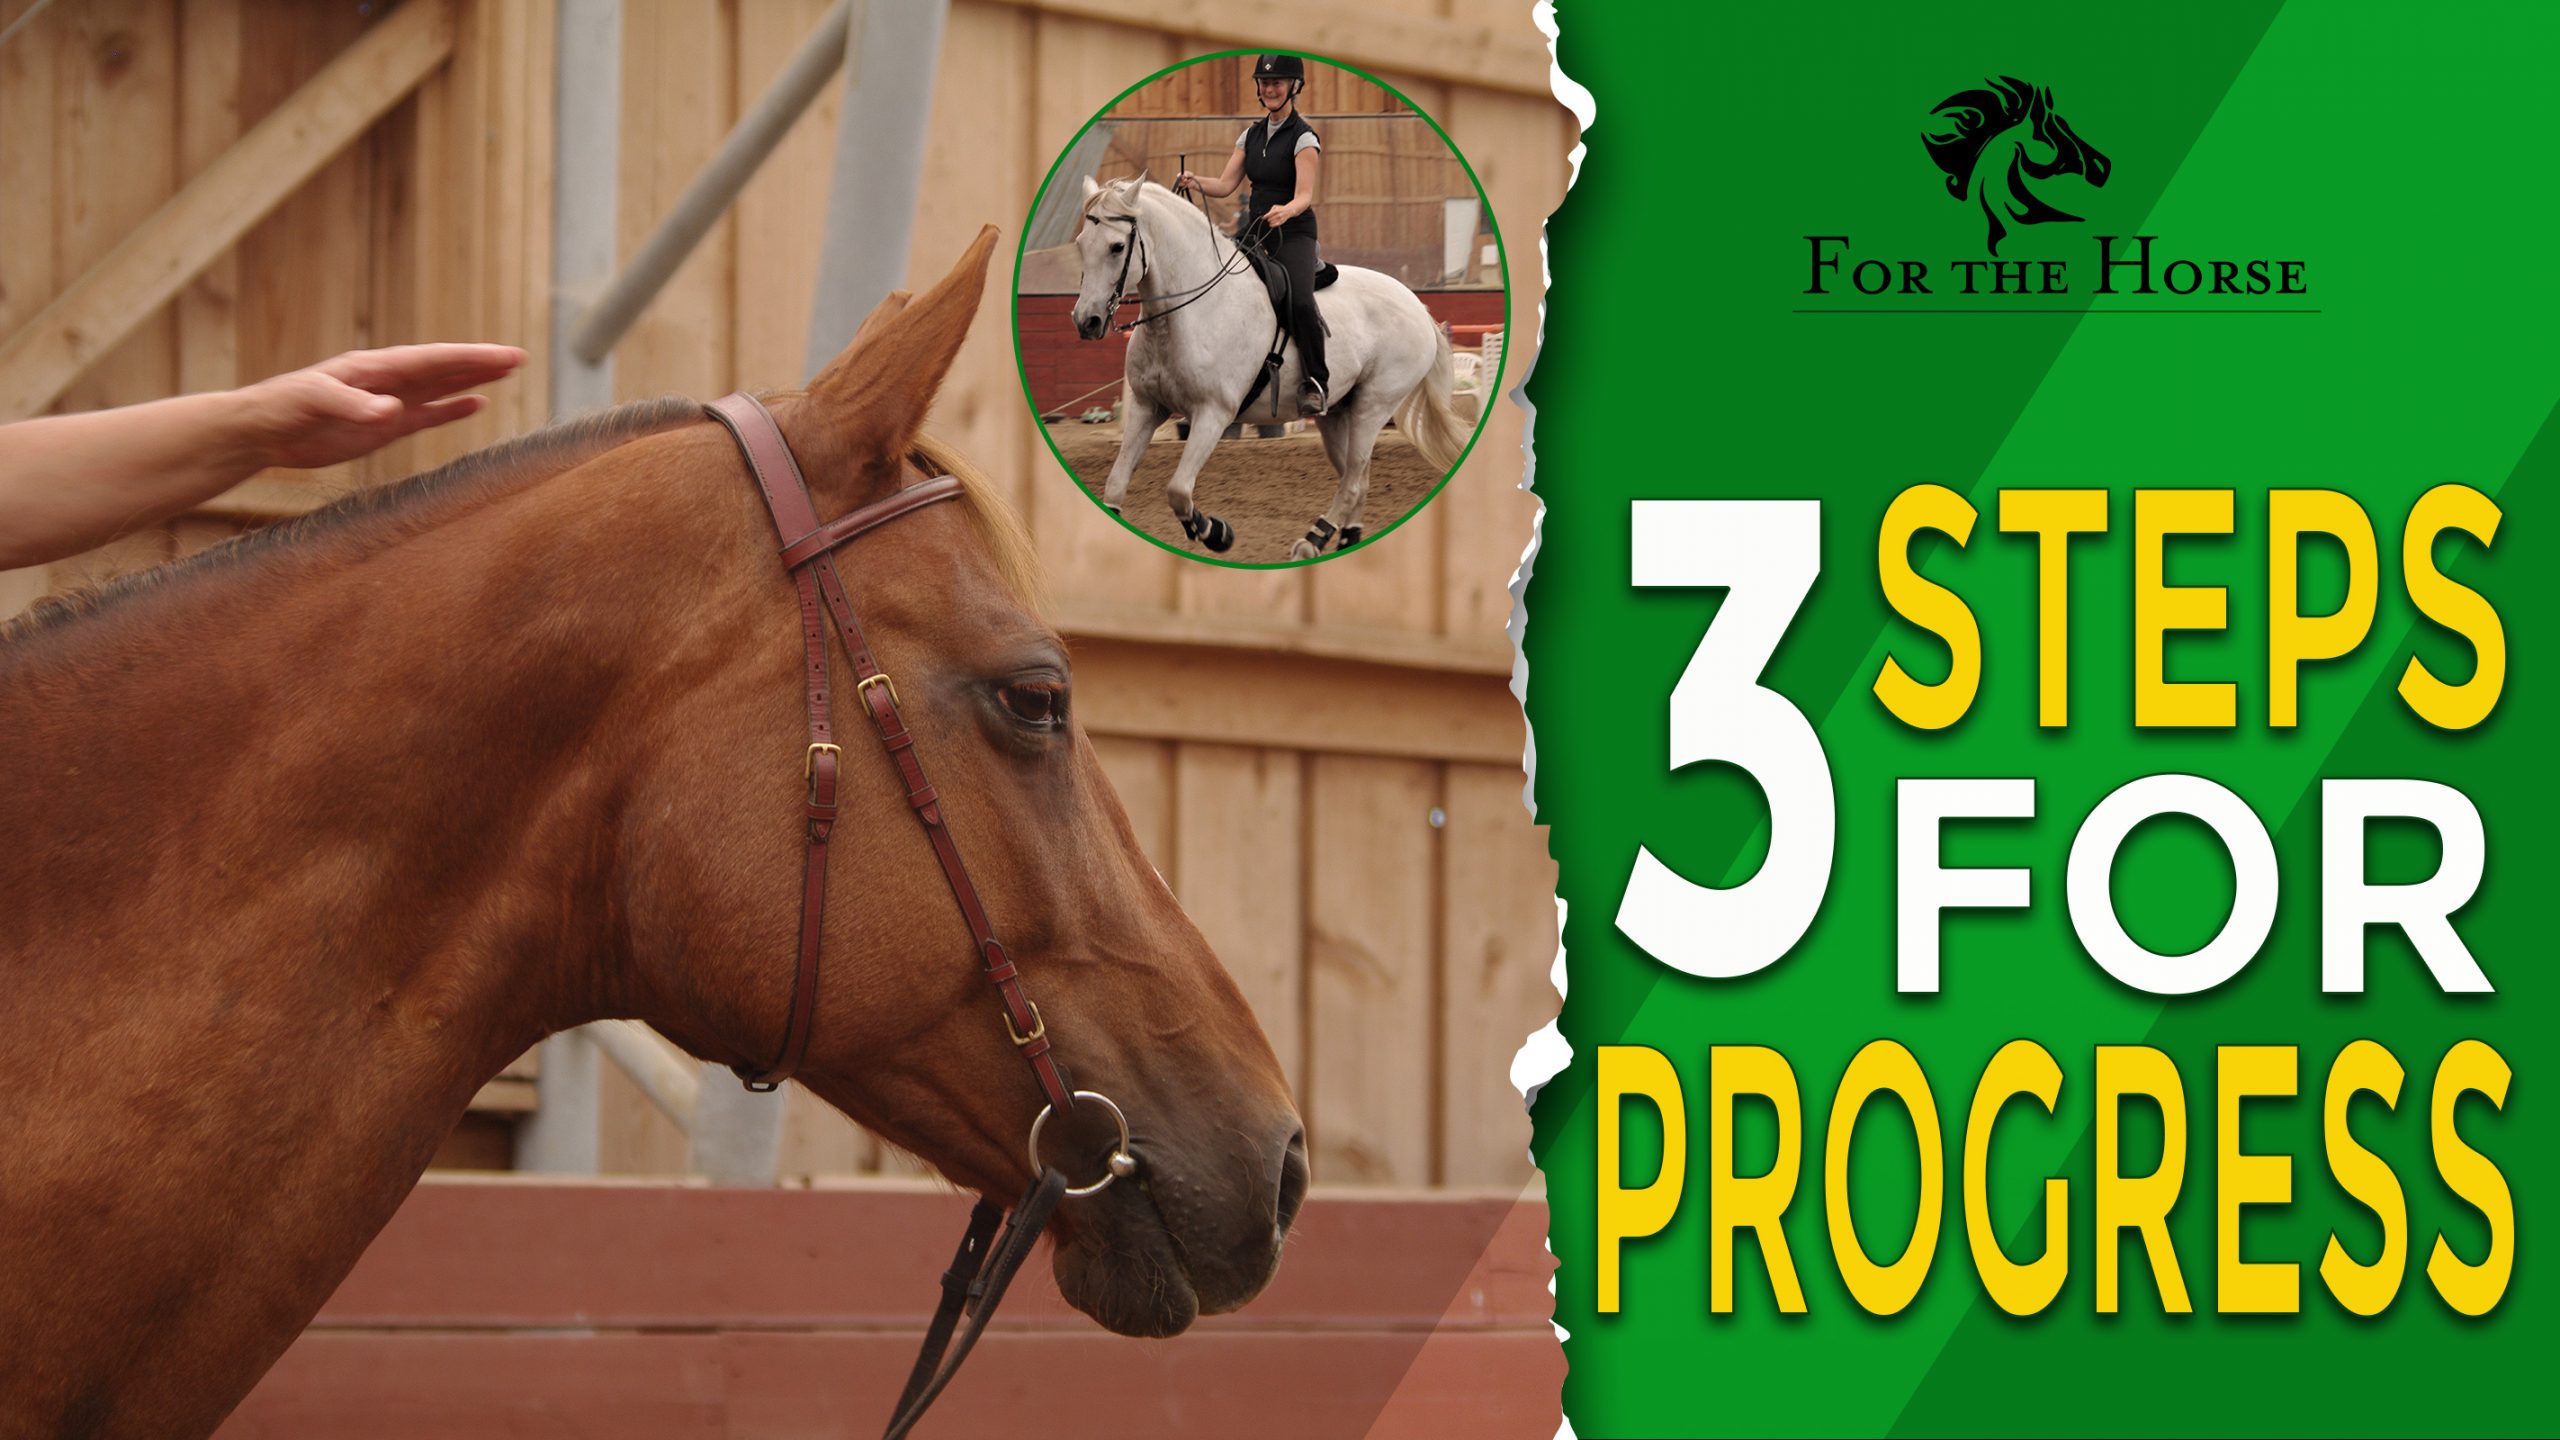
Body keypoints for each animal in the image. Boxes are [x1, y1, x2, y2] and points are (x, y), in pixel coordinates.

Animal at [1068, 175, 1469, 560]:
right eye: (1081, 243)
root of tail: (1417, 305)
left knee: (1354, 480)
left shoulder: (1213, 414)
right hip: (1338, 413)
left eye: (1117, 247)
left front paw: (1216, 532)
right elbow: (1116, 485)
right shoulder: (1146, 406)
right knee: (1357, 477)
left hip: (1374, 407)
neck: (1189, 311)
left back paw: (1312, 539)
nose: (1086, 321)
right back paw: (1345, 538)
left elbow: (1178, 489)